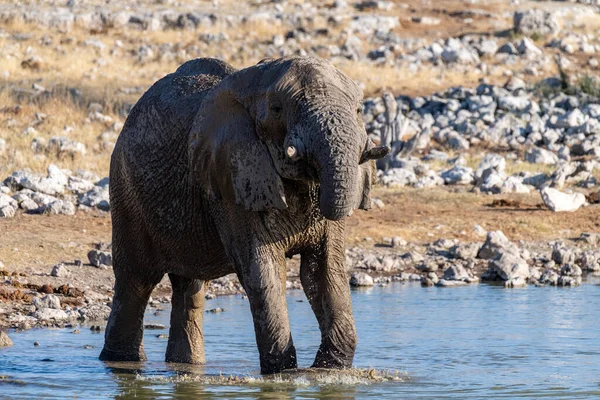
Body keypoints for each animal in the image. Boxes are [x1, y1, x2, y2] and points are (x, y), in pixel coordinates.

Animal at [98, 54, 390, 374]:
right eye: (277, 109)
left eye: (359, 110)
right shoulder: (231, 174)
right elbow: (264, 269)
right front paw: (284, 373)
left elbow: (323, 270)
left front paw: (328, 369)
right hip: (126, 189)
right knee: (136, 280)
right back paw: (120, 364)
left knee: (190, 287)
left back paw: (186, 367)